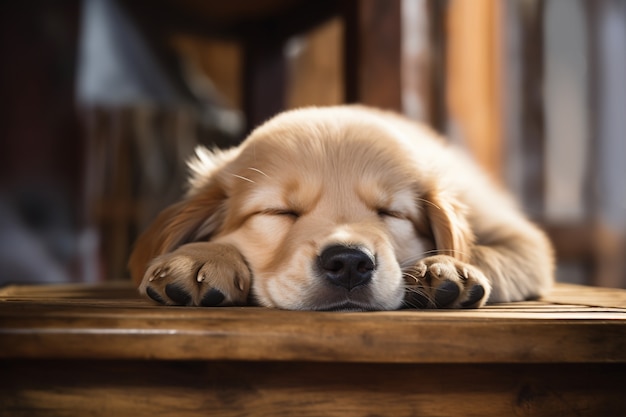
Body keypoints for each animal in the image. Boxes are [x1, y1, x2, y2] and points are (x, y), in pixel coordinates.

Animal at [127, 105, 552, 310]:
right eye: (280, 212)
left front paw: (443, 269)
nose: (349, 262)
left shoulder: (524, 240)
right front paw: (202, 258)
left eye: (391, 213)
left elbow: (487, 252)